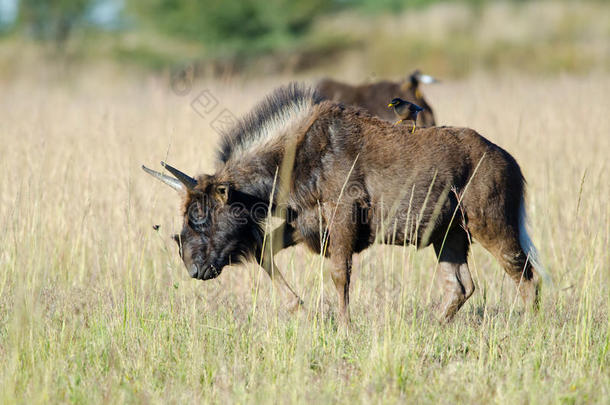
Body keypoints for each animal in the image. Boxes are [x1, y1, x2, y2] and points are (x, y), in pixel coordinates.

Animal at [144, 83, 548, 324]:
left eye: (199, 215)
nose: (194, 269)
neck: (294, 158)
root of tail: (510, 161)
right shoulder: (303, 224)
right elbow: (263, 252)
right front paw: (298, 307)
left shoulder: (342, 223)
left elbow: (340, 276)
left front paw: (344, 326)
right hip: (448, 236)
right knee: (461, 286)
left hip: (491, 226)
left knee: (526, 276)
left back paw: (530, 329)